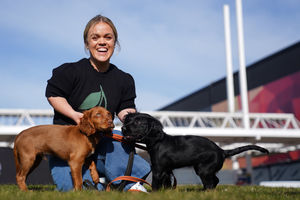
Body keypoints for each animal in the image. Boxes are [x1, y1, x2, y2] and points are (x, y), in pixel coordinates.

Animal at [122, 112, 270, 191]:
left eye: (138, 123)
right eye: (128, 120)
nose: (123, 128)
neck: (157, 141)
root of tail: (222, 150)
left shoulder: (158, 169)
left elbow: (155, 184)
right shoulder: (167, 170)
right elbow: (167, 183)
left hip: (203, 169)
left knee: (211, 182)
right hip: (203, 169)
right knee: (214, 181)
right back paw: (203, 191)